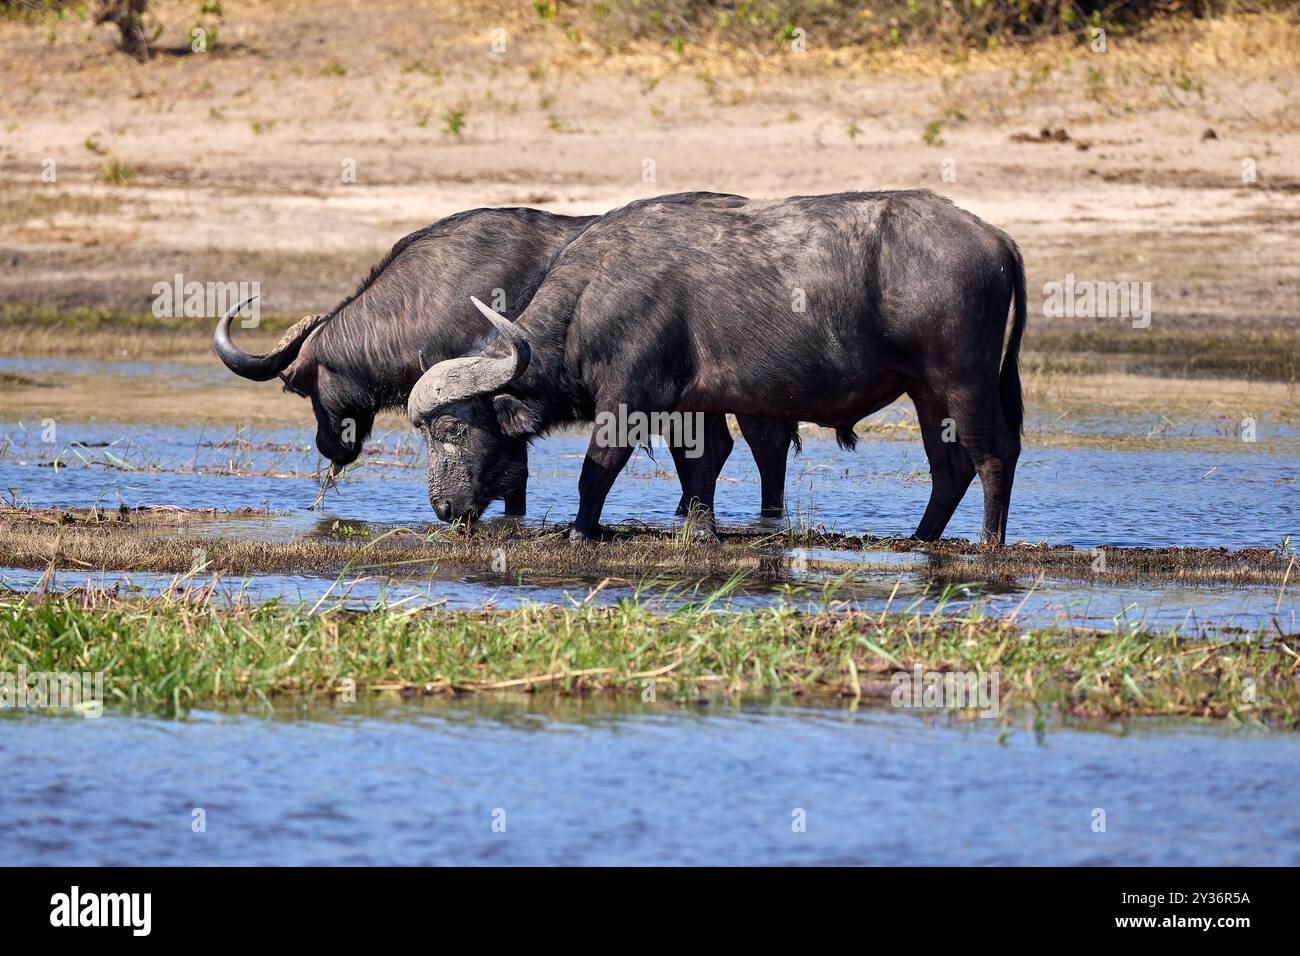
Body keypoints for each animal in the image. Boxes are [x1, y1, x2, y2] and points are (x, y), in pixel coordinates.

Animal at [408, 190, 1026, 544]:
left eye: (453, 429)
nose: (443, 507)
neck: (594, 293)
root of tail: (994, 236)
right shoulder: (694, 406)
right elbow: (700, 469)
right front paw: (701, 531)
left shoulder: (627, 401)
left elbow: (597, 469)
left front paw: (580, 532)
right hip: (926, 392)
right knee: (949, 468)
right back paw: (922, 539)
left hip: (964, 380)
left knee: (994, 453)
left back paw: (989, 544)